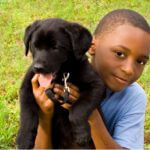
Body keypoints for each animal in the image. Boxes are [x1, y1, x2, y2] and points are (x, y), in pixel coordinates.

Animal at [16, 17, 105, 149]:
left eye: (55, 47)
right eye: (35, 46)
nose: (38, 67)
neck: (62, 76)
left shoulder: (96, 85)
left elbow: (78, 109)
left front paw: (81, 133)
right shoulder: (27, 87)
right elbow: (27, 114)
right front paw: (24, 139)